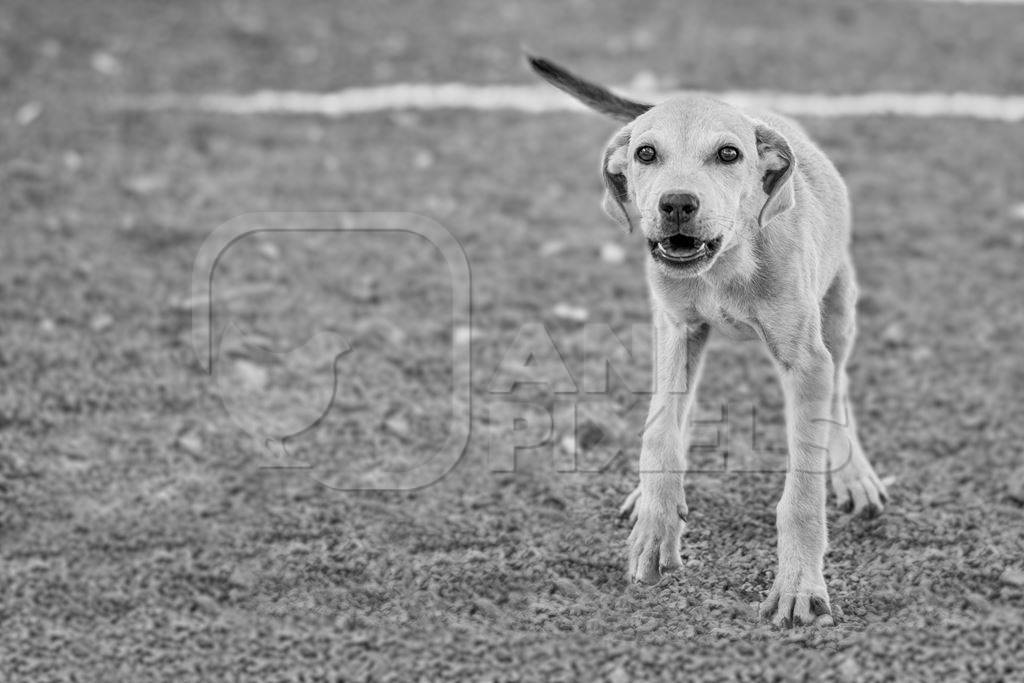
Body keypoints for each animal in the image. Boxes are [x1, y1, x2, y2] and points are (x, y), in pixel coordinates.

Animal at [528, 56, 888, 626]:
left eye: (728, 154)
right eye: (645, 153)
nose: (677, 203)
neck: (727, 263)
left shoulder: (807, 362)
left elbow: (802, 491)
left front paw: (798, 585)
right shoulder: (675, 329)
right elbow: (660, 433)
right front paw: (655, 528)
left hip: (839, 309)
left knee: (841, 389)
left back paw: (854, 472)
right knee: (677, 410)